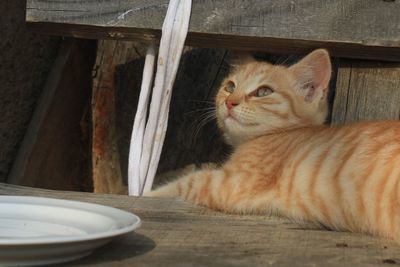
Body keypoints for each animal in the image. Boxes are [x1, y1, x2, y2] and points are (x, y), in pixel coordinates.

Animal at [146, 49, 400, 242]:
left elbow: (182, 185)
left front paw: (149, 193)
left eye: (263, 92)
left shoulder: (232, 184)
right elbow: (193, 170)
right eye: (230, 86)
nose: (230, 102)